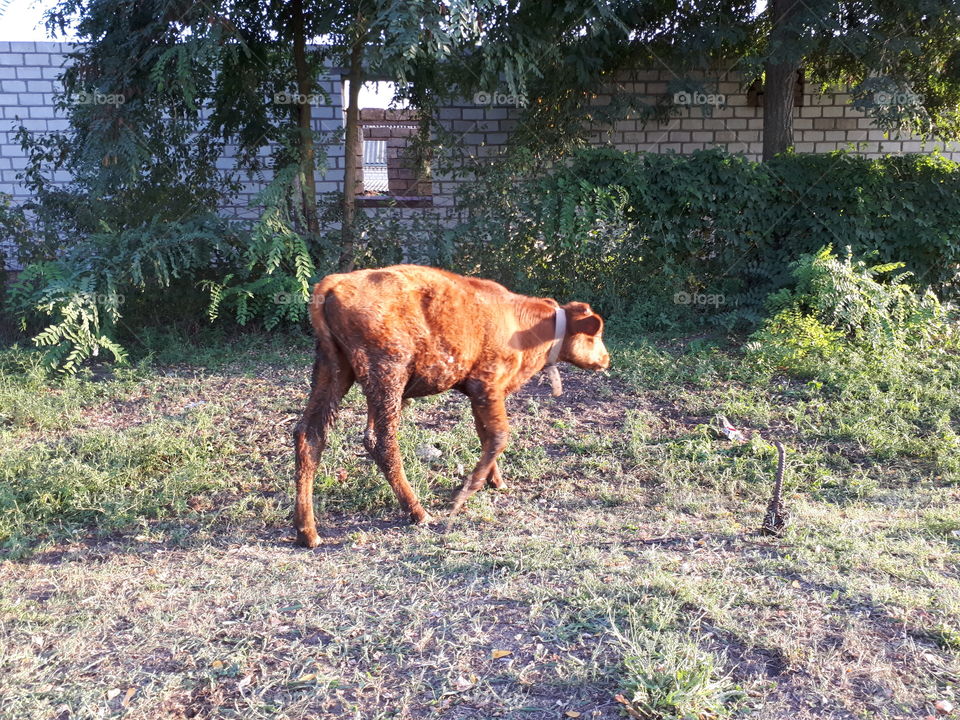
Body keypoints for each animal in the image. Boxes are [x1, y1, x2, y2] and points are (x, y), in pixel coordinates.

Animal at [292, 264, 612, 544]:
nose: (606, 359)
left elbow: (486, 436)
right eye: (595, 334)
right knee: (381, 441)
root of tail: (334, 282)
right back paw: (418, 512)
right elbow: (500, 436)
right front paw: (466, 492)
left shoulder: (479, 394)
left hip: (333, 372)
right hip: (388, 377)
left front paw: (495, 481)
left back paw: (307, 532)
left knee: (309, 435)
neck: (522, 324)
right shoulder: (487, 385)